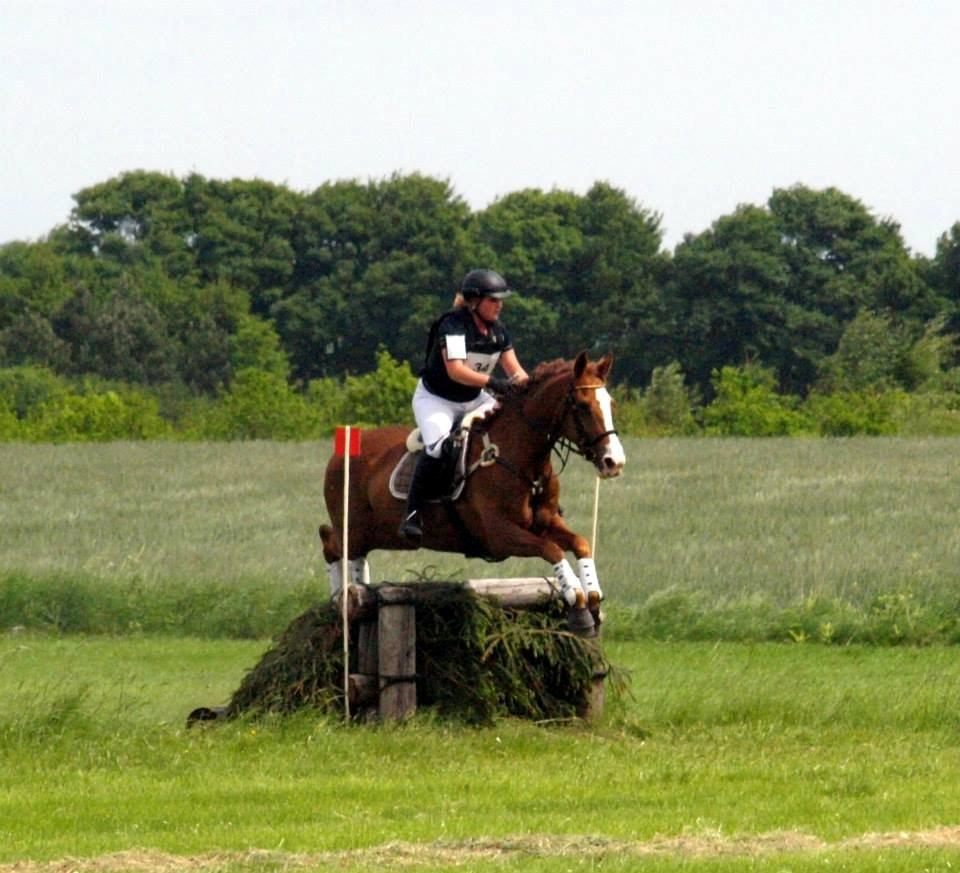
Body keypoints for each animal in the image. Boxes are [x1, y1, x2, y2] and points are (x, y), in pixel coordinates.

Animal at [318, 350, 628, 620]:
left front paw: (592, 591)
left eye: (610, 404)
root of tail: (338, 455)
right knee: (331, 543)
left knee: (350, 553)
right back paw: (341, 599)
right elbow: (550, 549)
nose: (614, 462)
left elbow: (581, 543)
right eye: (583, 406)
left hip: (377, 533)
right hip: (354, 528)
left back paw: (358, 590)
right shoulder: (500, 535)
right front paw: (573, 590)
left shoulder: (545, 522)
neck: (522, 457)